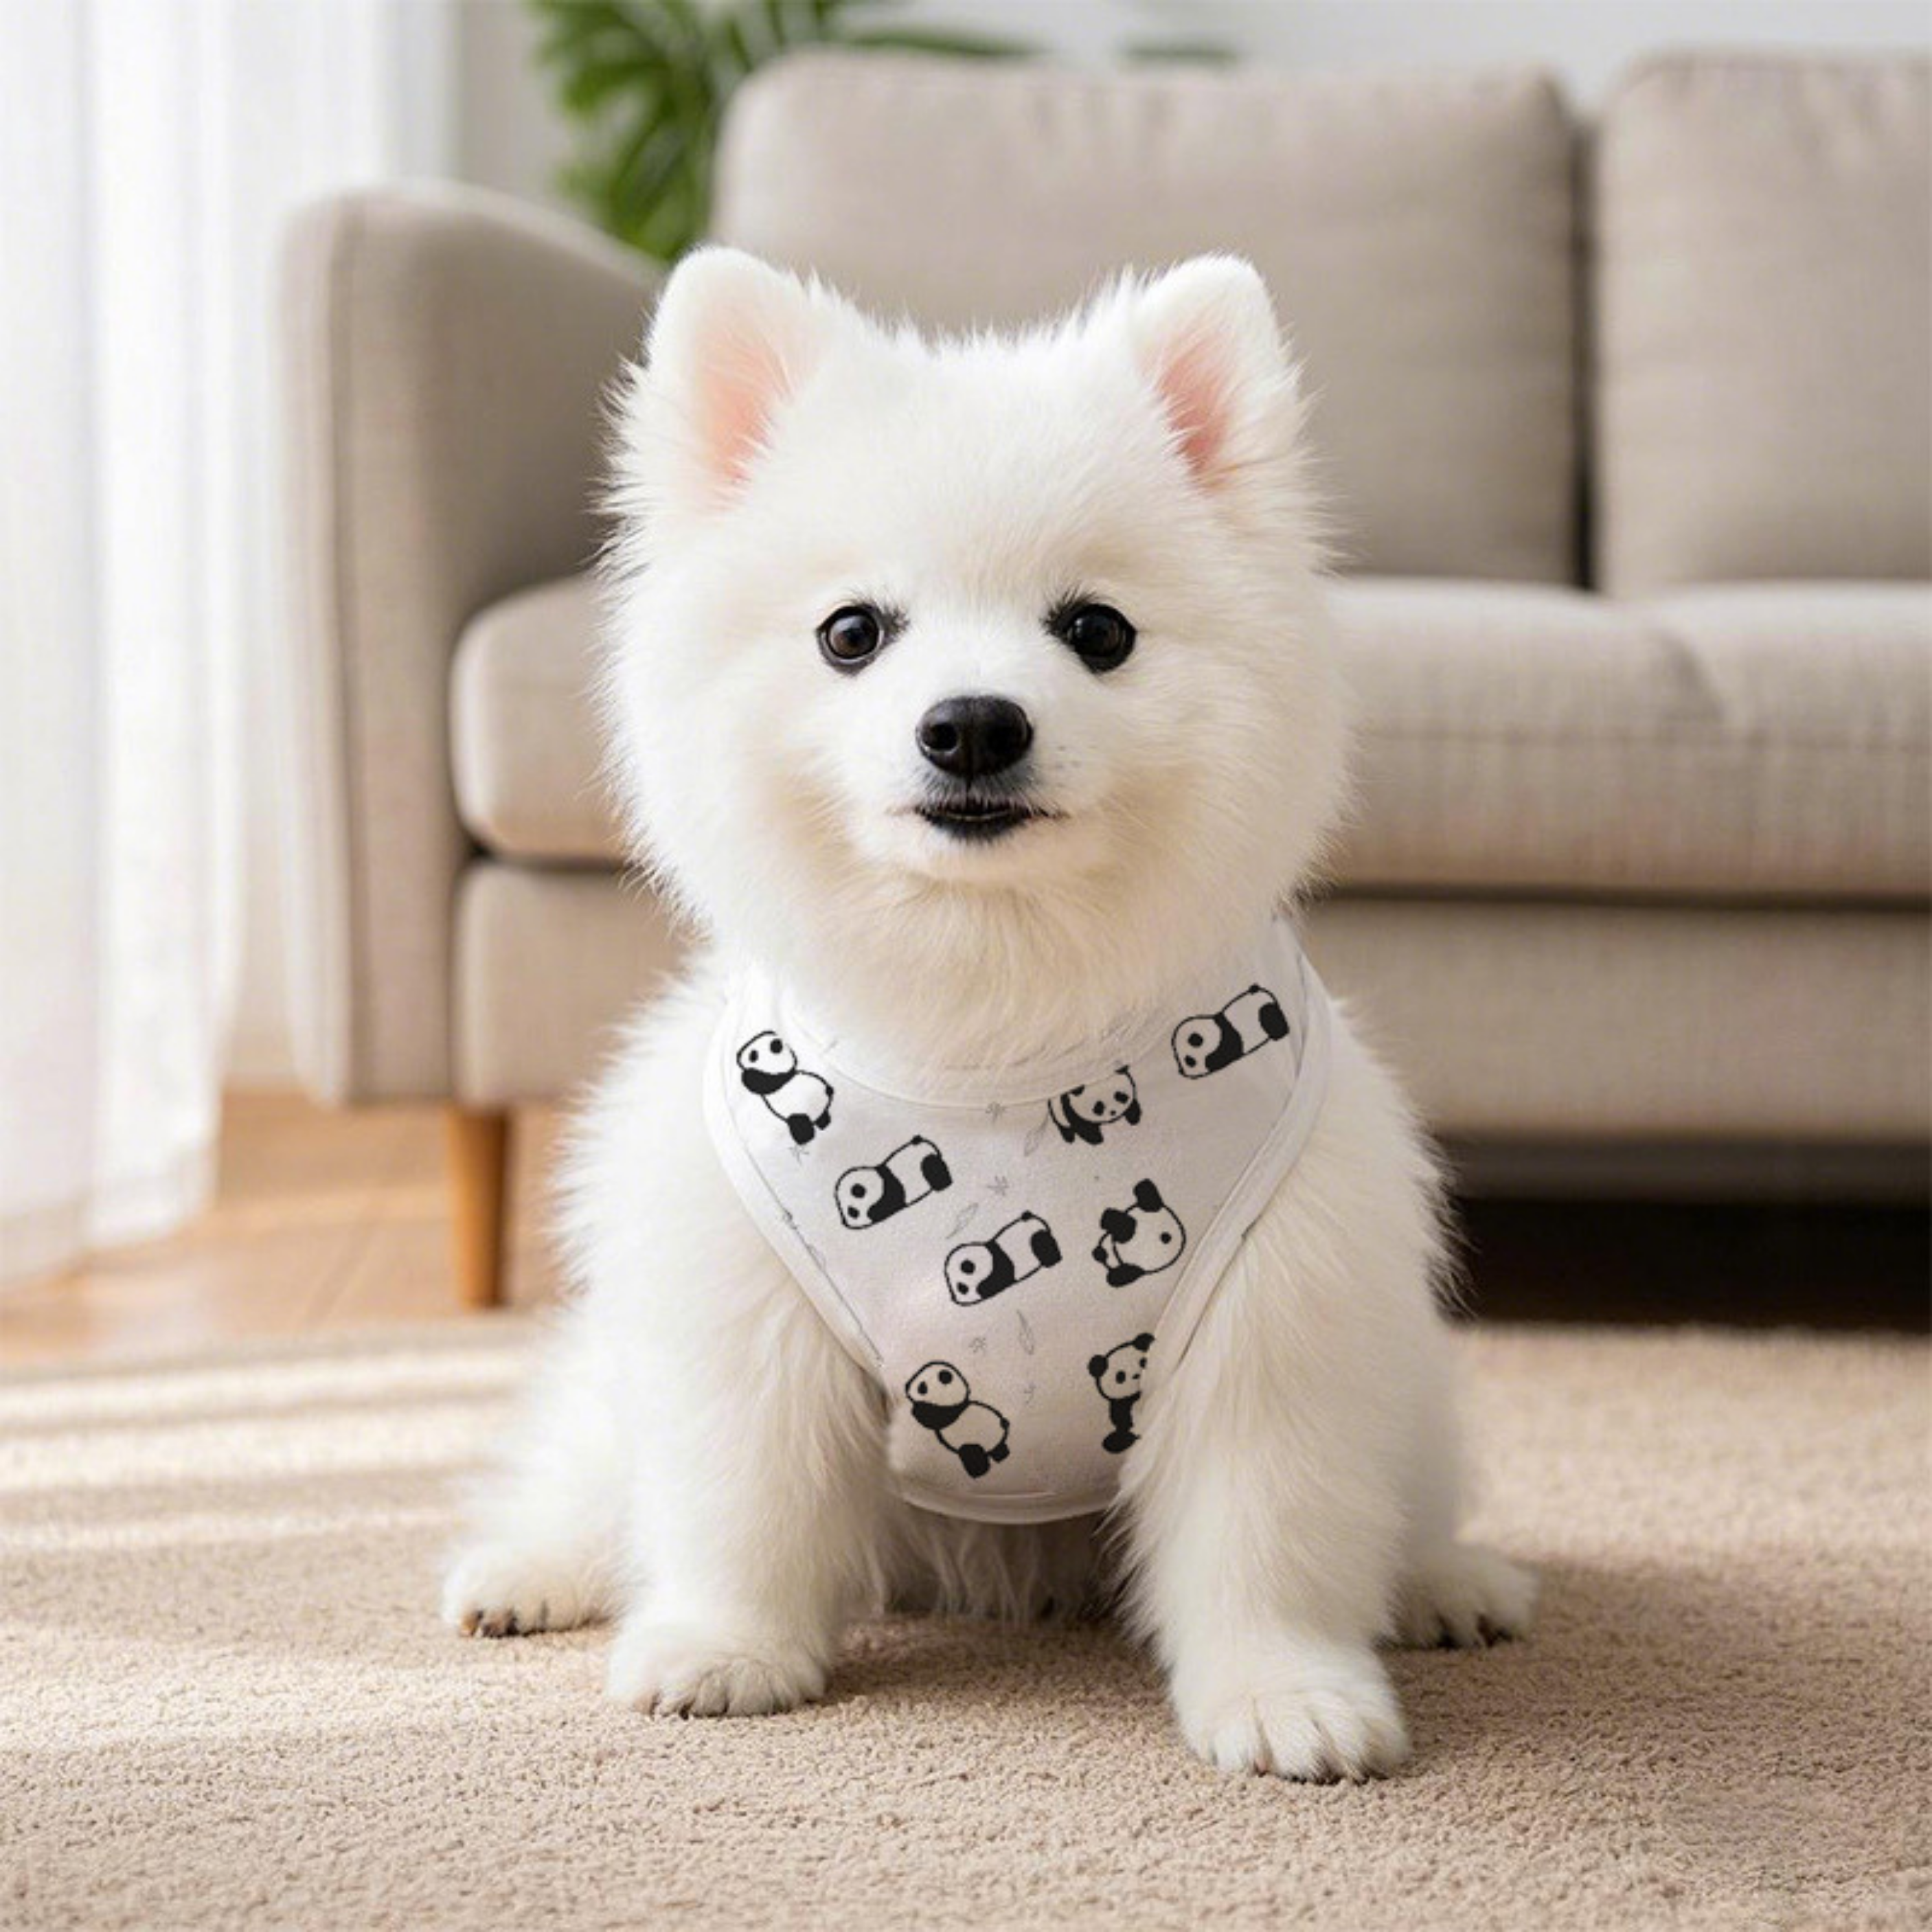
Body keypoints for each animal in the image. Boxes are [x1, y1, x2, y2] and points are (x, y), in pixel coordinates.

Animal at [735, 1030, 834, 1145]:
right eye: (753, 1055)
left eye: (776, 1041)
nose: (776, 1043)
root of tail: (816, 1116)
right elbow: (760, 1084)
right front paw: (748, 1074)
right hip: (798, 1115)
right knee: (801, 1125)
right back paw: (807, 1136)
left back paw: (824, 1121)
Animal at [904, 1361, 1010, 1479]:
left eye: (922, 1388)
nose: (907, 1388)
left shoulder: (951, 1410)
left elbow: (934, 1419)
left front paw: (918, 1409)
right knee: (998, 1449)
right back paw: (1002, 1455)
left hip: (971, 1444)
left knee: (973, 1457)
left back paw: (980, 1471)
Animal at [1046, 1068, 1141, 1147]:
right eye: (1098, 1107)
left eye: (1120, 1096)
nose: (1113, 1112)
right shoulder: (1070, 1107)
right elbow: (1084, 1127)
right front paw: (1097, 1140)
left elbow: (1132, 1105)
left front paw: (1134, 1119)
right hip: (1057, 1111)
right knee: (1063, 1125)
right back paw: (1069, 1138)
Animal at [1088, 1333, 1155, 1453]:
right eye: (1120, 1376)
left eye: (1142, 1362)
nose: (1136, 1376)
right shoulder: (1120, 1405)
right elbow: (1121, 1416)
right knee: (1116, 1439)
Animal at [1171, 984, 1290, 1079]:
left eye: (1190, 1061)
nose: (1184, 1072)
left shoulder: (1221, 1047)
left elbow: (1218, 1059)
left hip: (1268, 1018)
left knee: (1276, 1027)